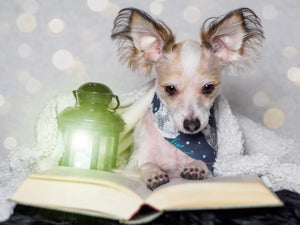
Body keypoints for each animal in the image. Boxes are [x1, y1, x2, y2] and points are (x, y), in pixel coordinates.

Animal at [111, 7, 264, 190]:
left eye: (208, 88)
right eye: (170, 89)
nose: (192, 125)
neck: (180, 142)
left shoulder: (213, 167)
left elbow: (204, 163)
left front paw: (196, 166)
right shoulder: (129, 166)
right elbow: (145, 165)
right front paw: (154, 173)